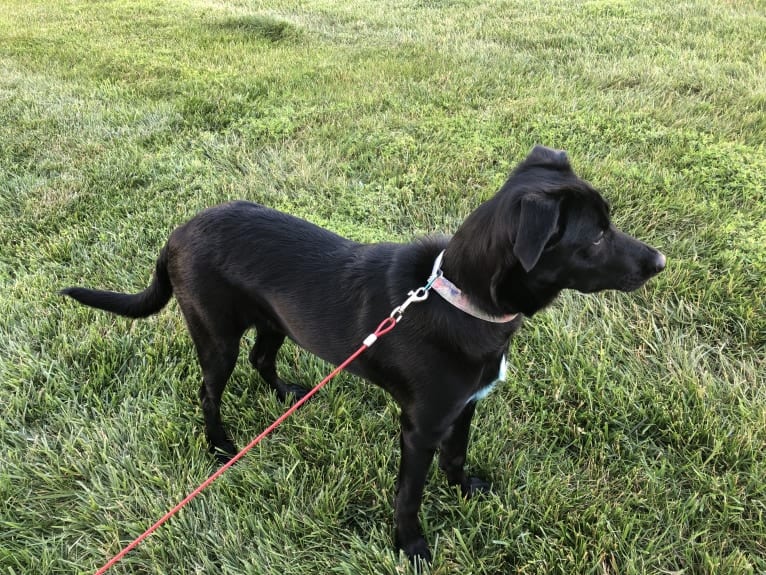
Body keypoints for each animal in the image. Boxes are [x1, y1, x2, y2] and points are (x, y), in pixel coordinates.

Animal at [64, 146, 664, 564]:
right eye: (594, 238)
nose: (660, 261)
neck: (459, 299)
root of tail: (175, 234)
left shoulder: (465, 406)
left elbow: (457, 455)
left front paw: (465, 490)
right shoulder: (419, 428)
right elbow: (409, 493)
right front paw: (411, 547)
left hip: (275, 322)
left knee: (262, 361)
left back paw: (285, 394)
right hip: (217, 337)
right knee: (209, 391)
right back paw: (219, 446)